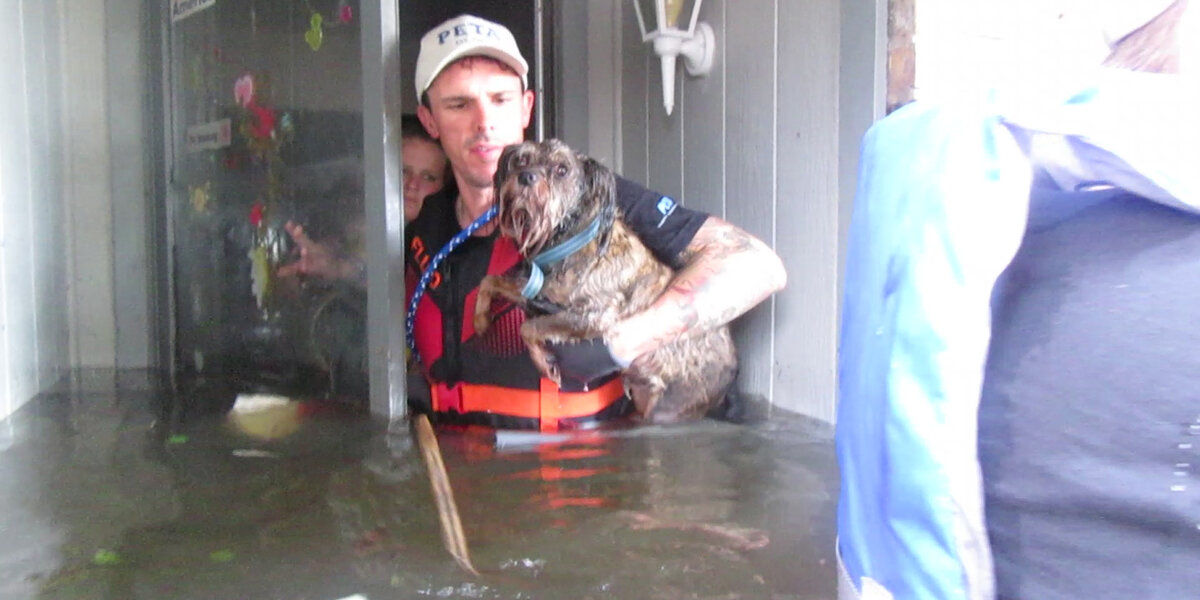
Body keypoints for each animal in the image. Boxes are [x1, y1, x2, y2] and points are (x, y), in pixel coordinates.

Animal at [472, 139, 734, 422]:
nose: (526, 176)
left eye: (562, 169)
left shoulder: (594, 316)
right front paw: (480, 319)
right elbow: (489, 281)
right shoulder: (537, 291)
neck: (565, 240)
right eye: (521, 160)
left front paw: (544, 362)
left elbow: (529, 327)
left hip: (664, 409)